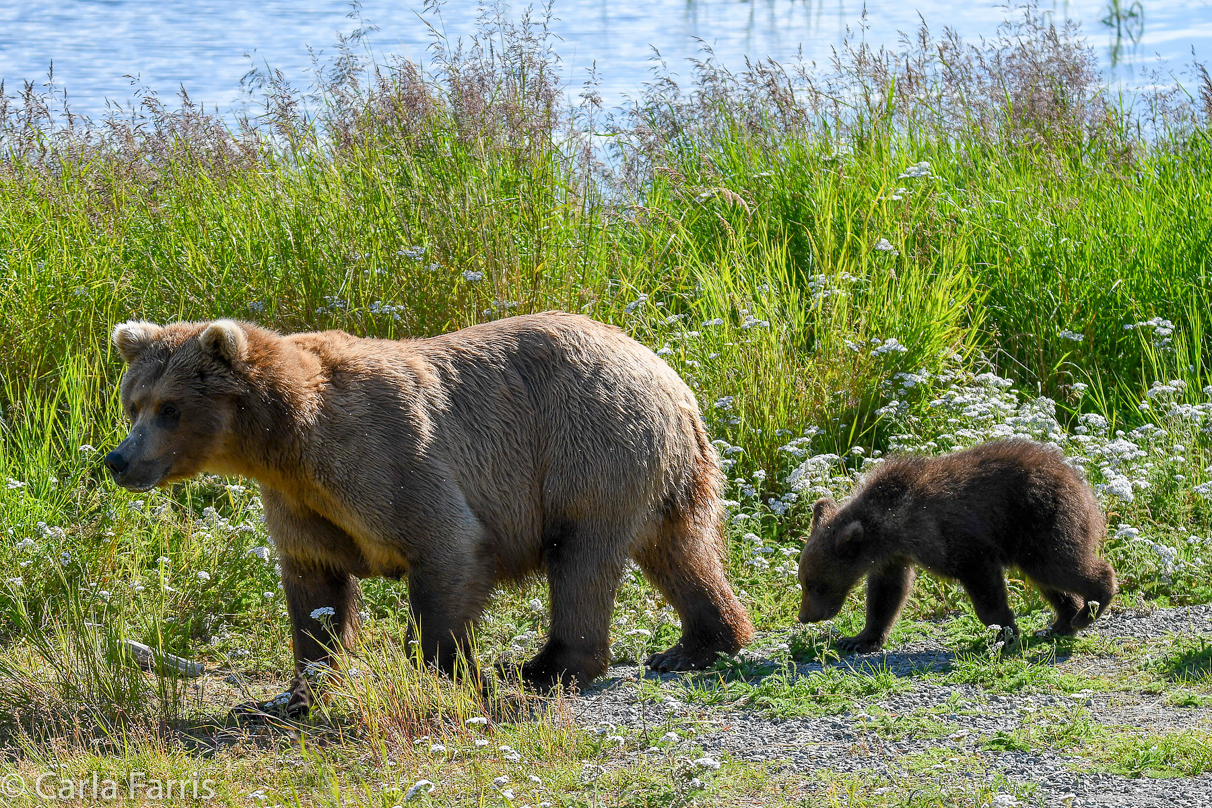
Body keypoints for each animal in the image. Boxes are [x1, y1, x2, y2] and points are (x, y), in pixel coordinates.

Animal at [106, 312, 746, 712]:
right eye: (133, 402)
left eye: (170, 408)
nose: (118, 460)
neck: (288, 441)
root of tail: (671, 379)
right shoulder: (303, 502)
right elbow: (314, 590)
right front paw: (293, 695)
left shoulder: (386, 454)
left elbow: (447, 549)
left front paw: (451, 671)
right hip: (661, 471)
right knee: (680, 551)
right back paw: (698, 644)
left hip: (588, 448)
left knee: (581, 559)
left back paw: (546, 667)